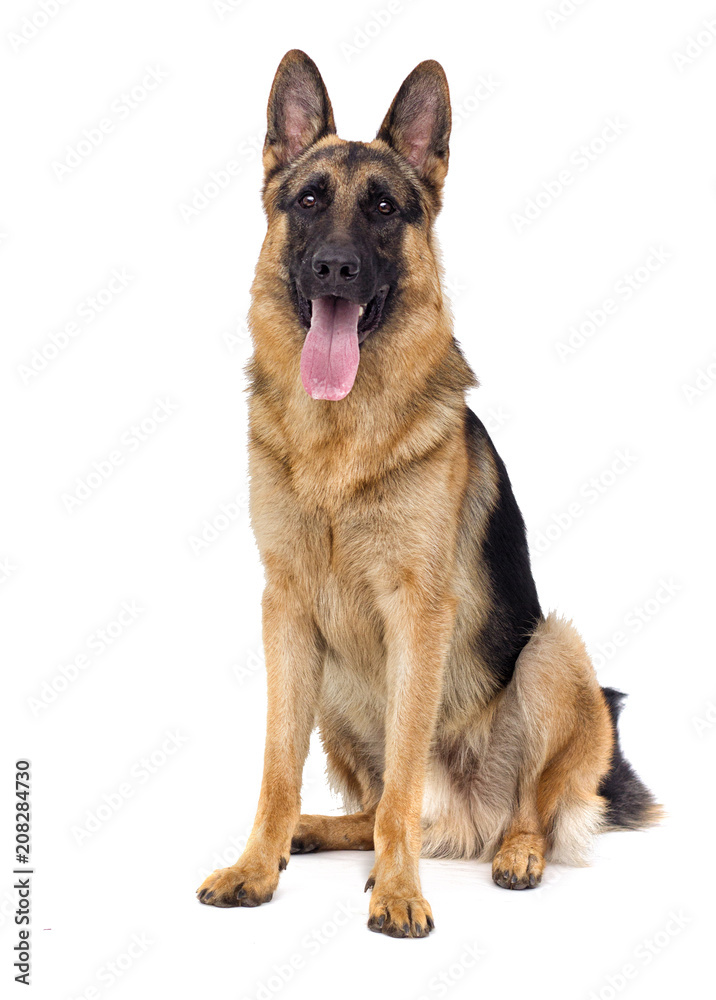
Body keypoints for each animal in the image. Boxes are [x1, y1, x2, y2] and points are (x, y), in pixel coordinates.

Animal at [196, 48, 660, 936]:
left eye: (384, 209)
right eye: (309, 201)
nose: (335, 268)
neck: (339, 442)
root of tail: (464, 822)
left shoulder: (419, 613)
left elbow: (405, 780)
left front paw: (401, 890)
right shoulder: (285, 610)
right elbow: (277, 766)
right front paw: (256, 865)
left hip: (553, 651)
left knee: (523, 804)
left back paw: (511, 854)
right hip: (334, 689)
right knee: (365, 801)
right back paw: (312, 832)